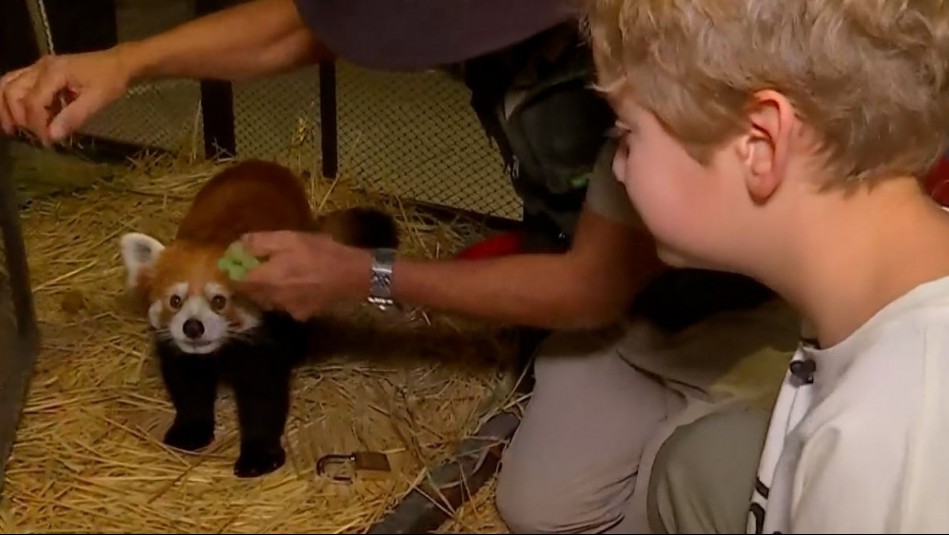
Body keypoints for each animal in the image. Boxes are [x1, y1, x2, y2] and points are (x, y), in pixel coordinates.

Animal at [119, 158, 400, 478]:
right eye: (175, 301)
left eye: (219, 301)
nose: (193, 327)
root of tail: (260, 163)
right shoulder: (180, 350)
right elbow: (189, 384)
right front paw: (190, 431)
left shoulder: (263, 338)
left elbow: (263, 395)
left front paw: (258, 456)